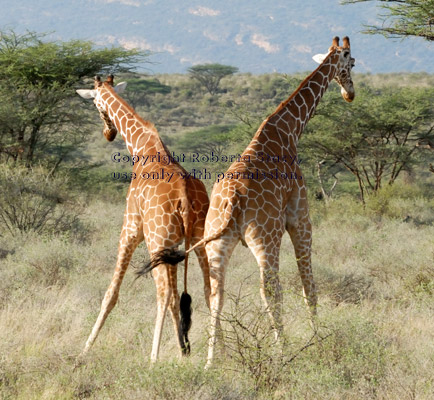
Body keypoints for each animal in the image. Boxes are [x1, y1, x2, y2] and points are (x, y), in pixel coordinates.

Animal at [76, 74, 212, 362]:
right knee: (208, 289)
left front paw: (83, 352)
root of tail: (184, 197)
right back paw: (215, 356)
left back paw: (152, 360)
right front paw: (183, 352)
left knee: (164, 293)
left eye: (96, 105)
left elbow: (111, 294)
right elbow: (177, 300)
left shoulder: (130, 229)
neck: (141, 146)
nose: (108, 133)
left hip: (156, 240)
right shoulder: (173, 244)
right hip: (197, 239)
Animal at [147, 36, 354, 368]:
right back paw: (283, 352)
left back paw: (210, 362)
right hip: (265, 240)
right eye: (352, 62)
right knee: (270, 291)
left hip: (216, 242)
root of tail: (233, 200)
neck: (289, 130)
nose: (351, 93)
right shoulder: (300, 218)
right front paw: (318, 341)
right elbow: (309, 286)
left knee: (215, 294)